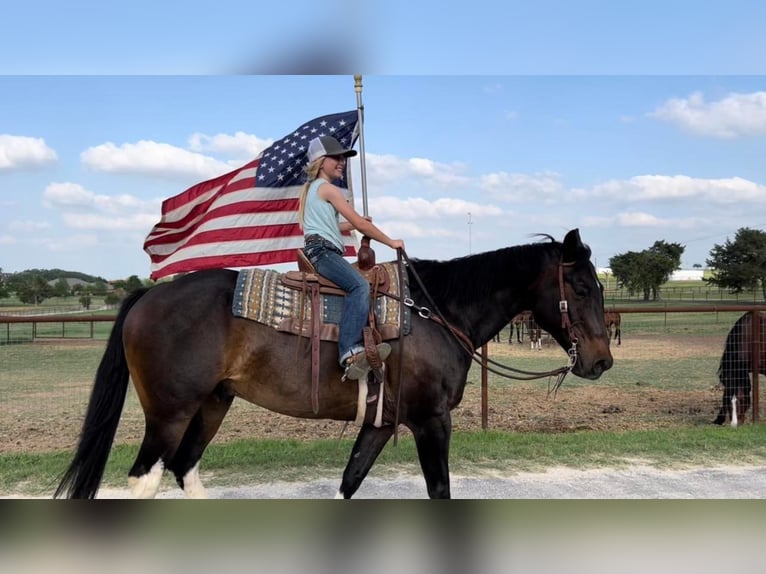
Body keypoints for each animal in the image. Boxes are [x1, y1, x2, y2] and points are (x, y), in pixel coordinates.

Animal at [54, 230, 616, 500]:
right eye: (581, 286)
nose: (601, 361)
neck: (436, 312)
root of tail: (148, 296)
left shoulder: (382, 422)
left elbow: (350, 480)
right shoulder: (432, 421)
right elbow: (439, 489)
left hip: (212, 404)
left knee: (186, 468)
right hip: (169, 413)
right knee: (145, 477)